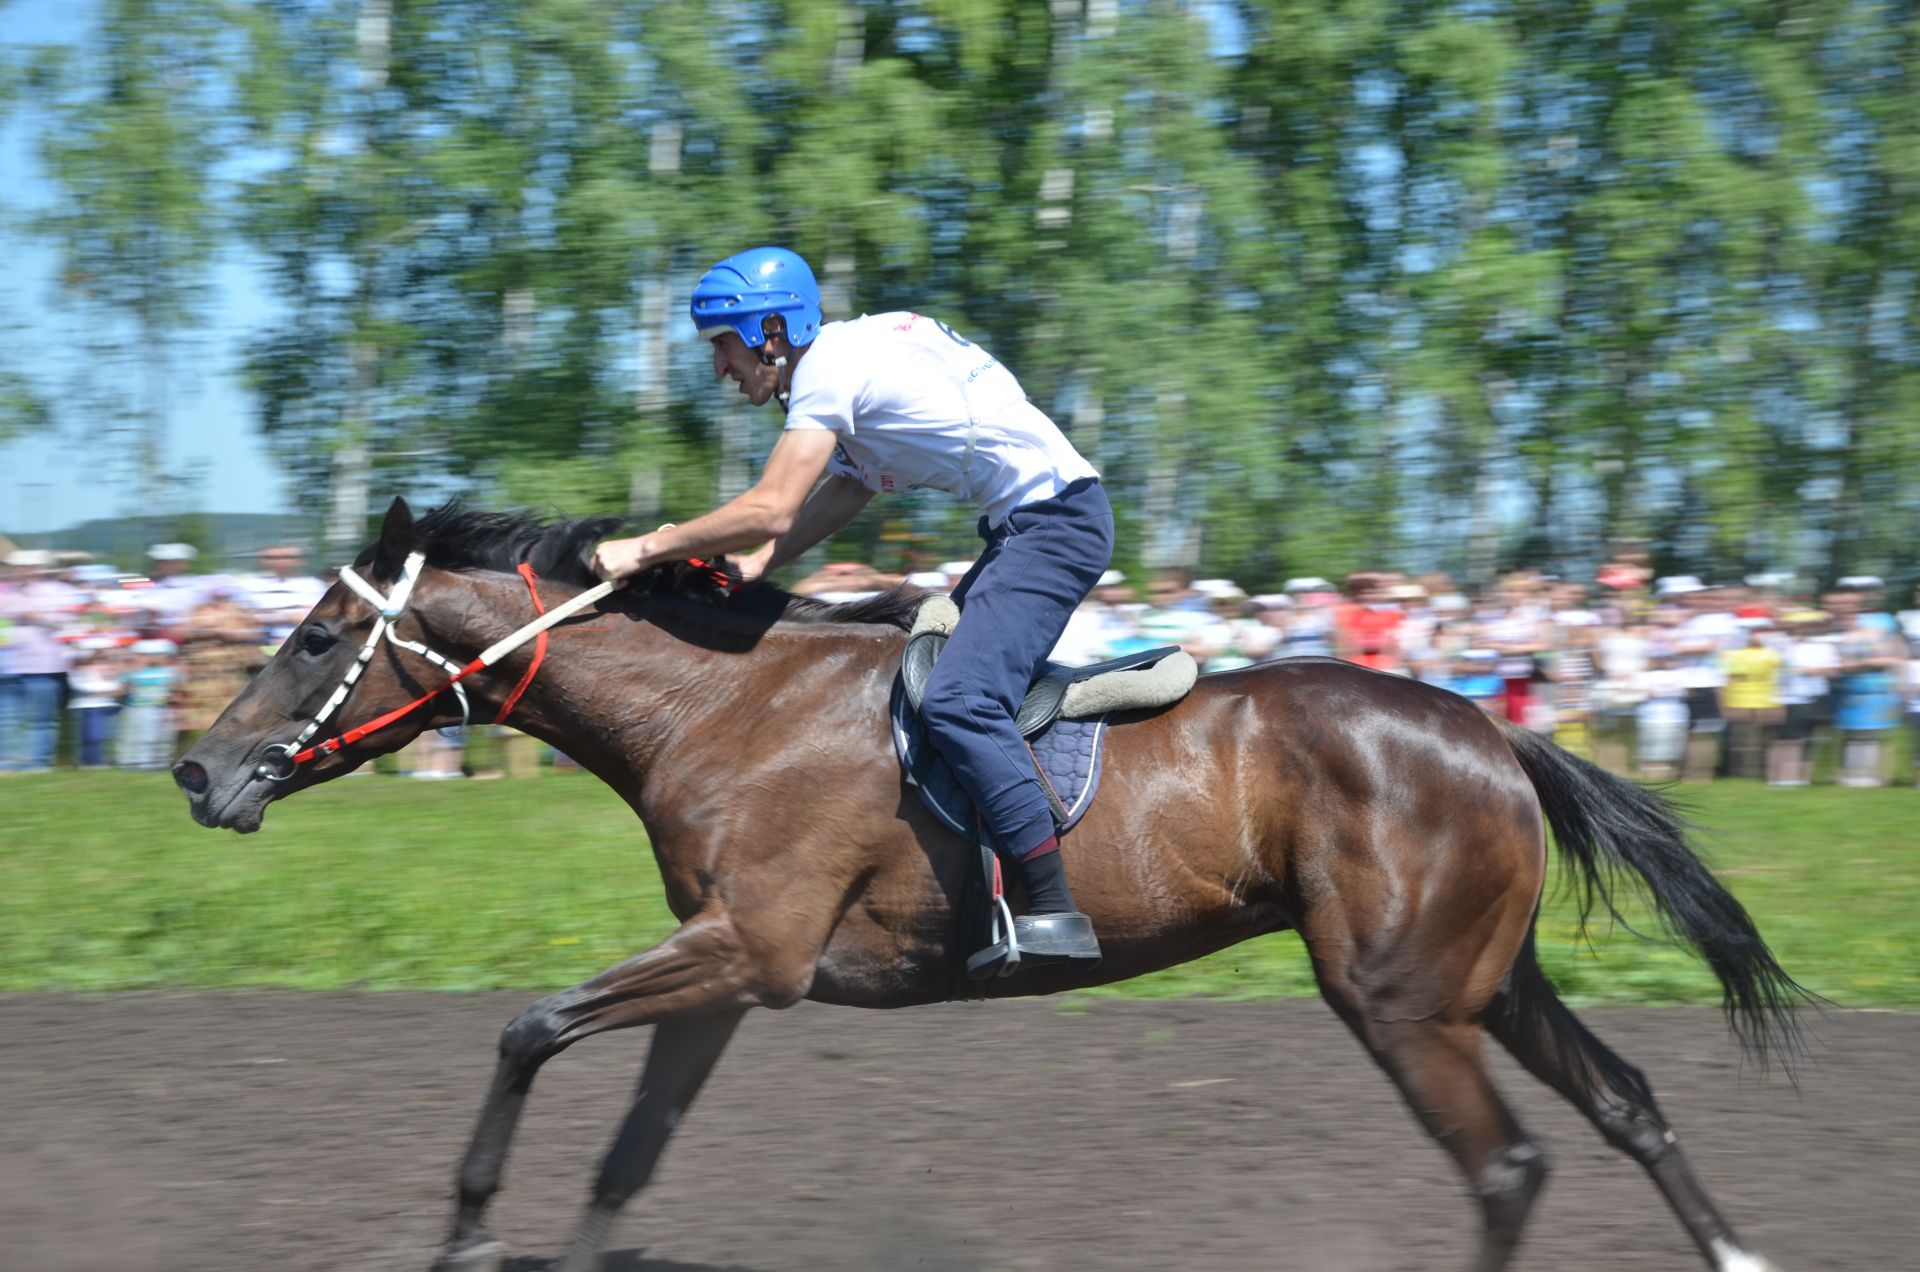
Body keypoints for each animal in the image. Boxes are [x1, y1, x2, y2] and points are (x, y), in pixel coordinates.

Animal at [176, 503, 1797, 1272]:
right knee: (1628, 1103)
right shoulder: (729, 971)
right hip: (1485, 981)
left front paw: (464, 1229)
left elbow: (525, 1028)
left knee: (1510, 1166)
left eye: (316, 637)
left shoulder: (748, 950)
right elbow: (626, 1153)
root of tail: (1497, 727)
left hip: (1398, 999)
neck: (719, 706)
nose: (198, 770)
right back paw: (1733, 1245)